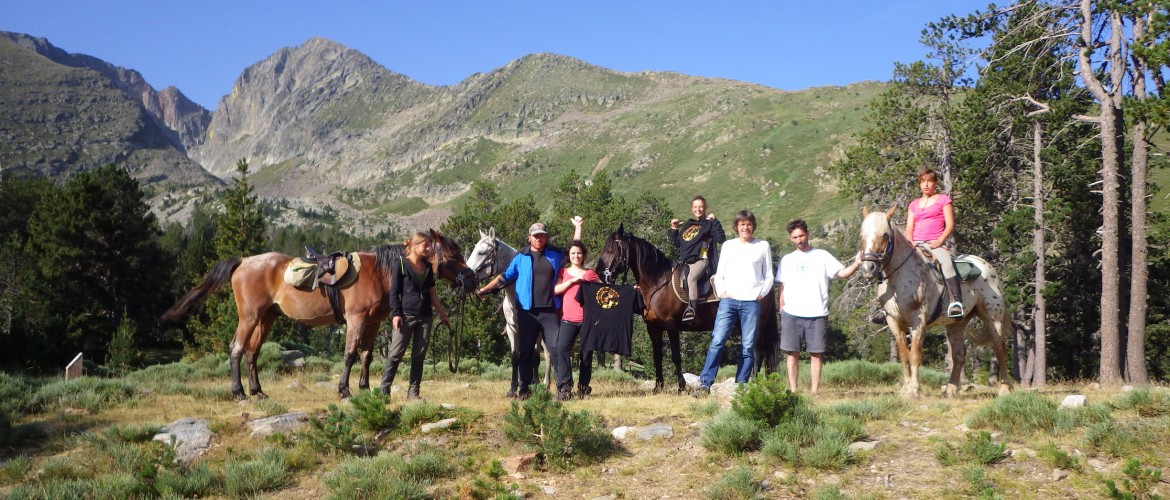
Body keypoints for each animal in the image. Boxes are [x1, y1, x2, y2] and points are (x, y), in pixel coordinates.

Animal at [162, 229, 477, 400]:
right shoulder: (356, 319)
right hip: (249, 317)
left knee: (252, 352)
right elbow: (350, 354)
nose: (472, 279)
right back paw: (239, 392)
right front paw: (344, 390)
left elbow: (367, 356)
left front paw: (365, 388)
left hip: (267, 318)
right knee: (237, 349)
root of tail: (243, 262)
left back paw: (257, 391)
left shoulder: (374, 323)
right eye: (453, 255)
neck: (381, 273)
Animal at [463, 229, 554, 398]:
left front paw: (531, 385)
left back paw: (545, 384)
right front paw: (513, 389)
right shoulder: (513, 330)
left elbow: (533, 357)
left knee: (548, 355)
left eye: (481, 252)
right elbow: (516, 357)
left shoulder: (534, 332)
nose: (465, 280)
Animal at [594, 224, 776, 393]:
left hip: (756, 325)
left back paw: (754, 382)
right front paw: (658, 387)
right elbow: (657, 356)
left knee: (758, 352)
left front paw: (681, 387)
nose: (600, 274)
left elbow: (676, 356)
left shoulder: (671, 325)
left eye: (610, 250)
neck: (658, 283)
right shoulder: (653, 328)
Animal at [856, 207, 1010, 400]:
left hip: (993, 318)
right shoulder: (893, 321)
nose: (868, 268)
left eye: (885, 234)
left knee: (1000, 349)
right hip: (957, 324)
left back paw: (1005, 389)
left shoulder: (918, 320)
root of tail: (986, 266)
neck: (898, 278)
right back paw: (951, 389)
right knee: (959, 355)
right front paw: (905, 389)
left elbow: (915, 355)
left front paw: (915, 389)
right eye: (862, 234)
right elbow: (904, 355)